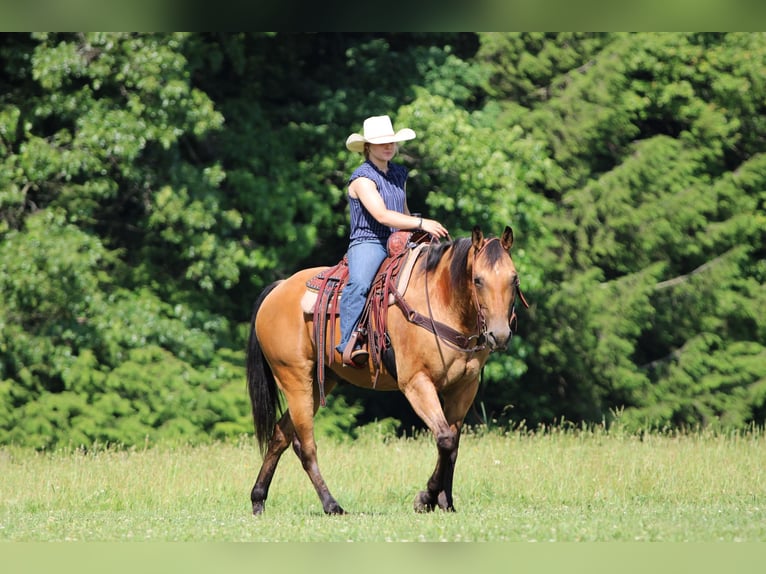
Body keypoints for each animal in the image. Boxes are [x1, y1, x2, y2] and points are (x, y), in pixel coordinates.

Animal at [246, 226, 527, 515]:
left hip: (316, 383)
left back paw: (258, 499)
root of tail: (278, 289)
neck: (442, 303)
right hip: (295, 379)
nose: (500, 335)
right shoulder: (417, 383)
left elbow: (452, 445)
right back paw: (331, 505)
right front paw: (426, 498)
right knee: (305, 445)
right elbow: (445, 439)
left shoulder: (464, 388)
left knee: (280, 435)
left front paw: (445, 502)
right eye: (478, 280)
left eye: (514, 279)